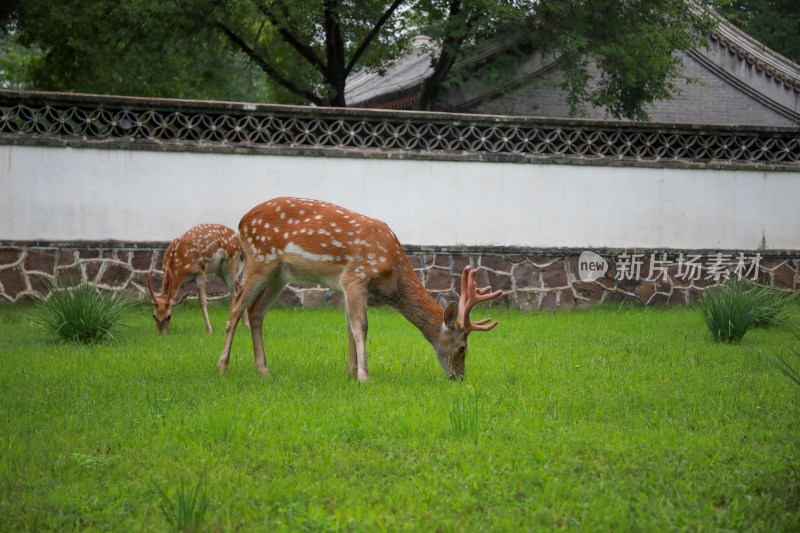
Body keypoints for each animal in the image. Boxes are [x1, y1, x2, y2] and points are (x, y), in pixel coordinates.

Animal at [214, 197, 500, 380]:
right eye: (463, 348)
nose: (459, 378)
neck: (392, 275)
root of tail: (240, 222)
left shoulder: (347, 287)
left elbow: (350, 328)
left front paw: (351, 372)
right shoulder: (356, 276)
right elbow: (361, 327)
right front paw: (364, 376)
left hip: (280, 273)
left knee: (256, 311)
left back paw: (263, 370)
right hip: (259, 260)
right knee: (236, 305)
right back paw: (222, 366)